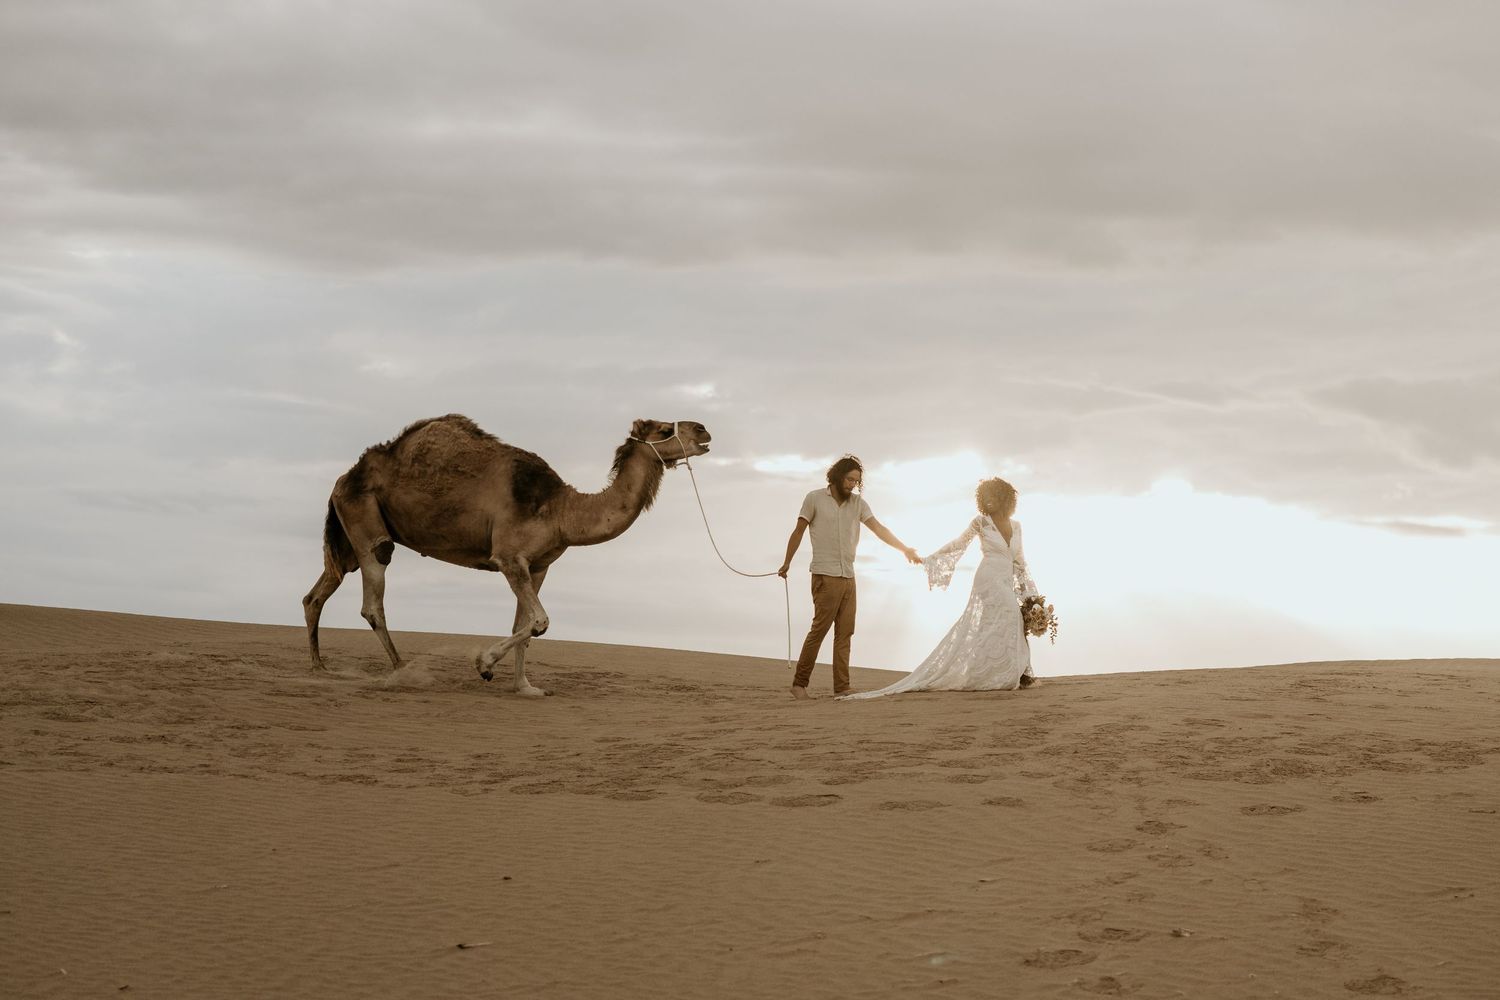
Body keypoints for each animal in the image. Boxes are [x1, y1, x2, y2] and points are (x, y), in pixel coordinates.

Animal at [302, 414, 711, 696]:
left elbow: (524, 628)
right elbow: (540, 621)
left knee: (317, 594)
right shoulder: (509, 557)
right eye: (664, 429)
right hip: (365, 520)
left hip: (349, 536)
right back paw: (403, 670)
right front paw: (483, 665)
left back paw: (319, 667)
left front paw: (525, 687)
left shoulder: (539, 565)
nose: (704, 430)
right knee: (373, 598)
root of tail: (344, 478)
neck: (562, 510)